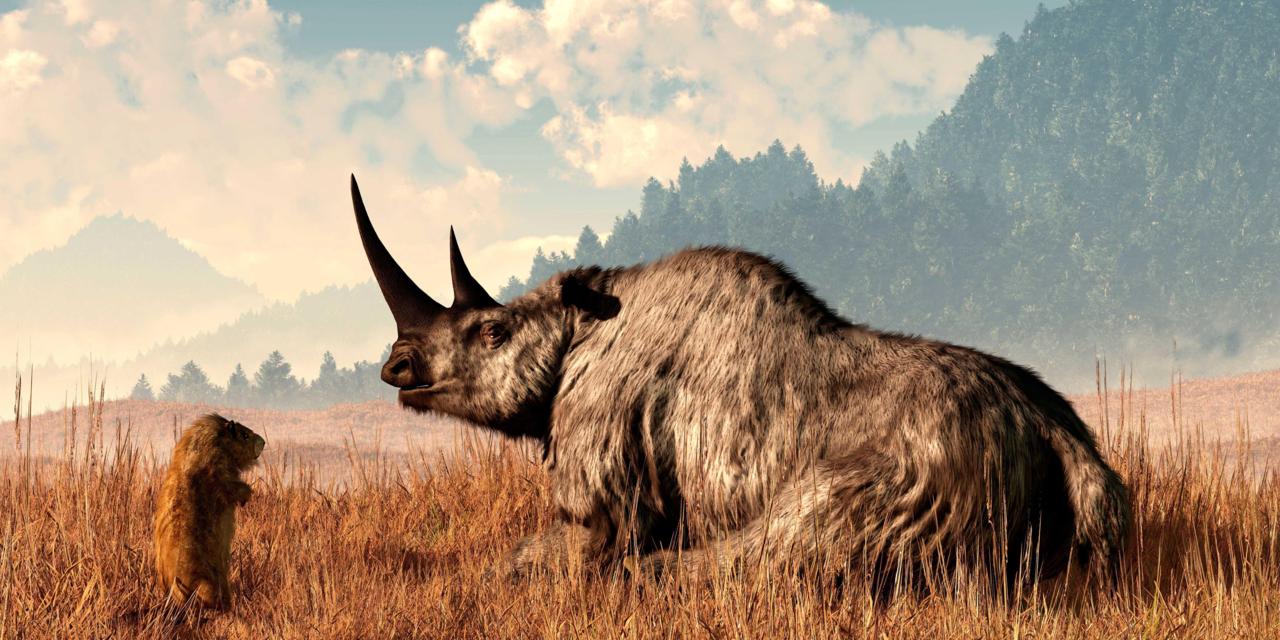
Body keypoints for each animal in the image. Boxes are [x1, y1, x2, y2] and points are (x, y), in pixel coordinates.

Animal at [349, 175, 1129, 589]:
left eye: (493, 333)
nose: (397, 367)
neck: (579, 325)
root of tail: (1064, 439)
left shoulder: (605, 463)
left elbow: (567, 543)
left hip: (936, 451)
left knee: (795, 530)